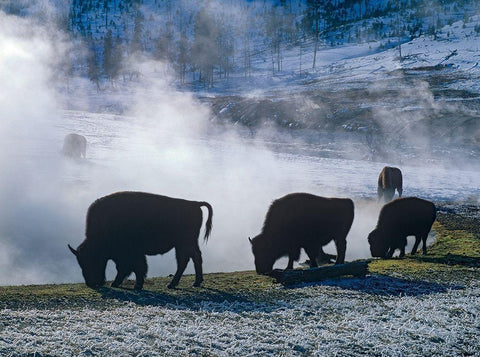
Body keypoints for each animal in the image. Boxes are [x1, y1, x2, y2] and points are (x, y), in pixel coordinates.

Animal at [67, 192, 212, 290]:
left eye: (91, 260)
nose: (91, 283)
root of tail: (194, 203)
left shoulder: (131, 253)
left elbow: (134, 267)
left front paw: (133, 285)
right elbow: (133, 268)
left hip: (184, 243)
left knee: (185, 260)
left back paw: (173, 284)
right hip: (185, 244)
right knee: (193, 258)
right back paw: (194, 282)